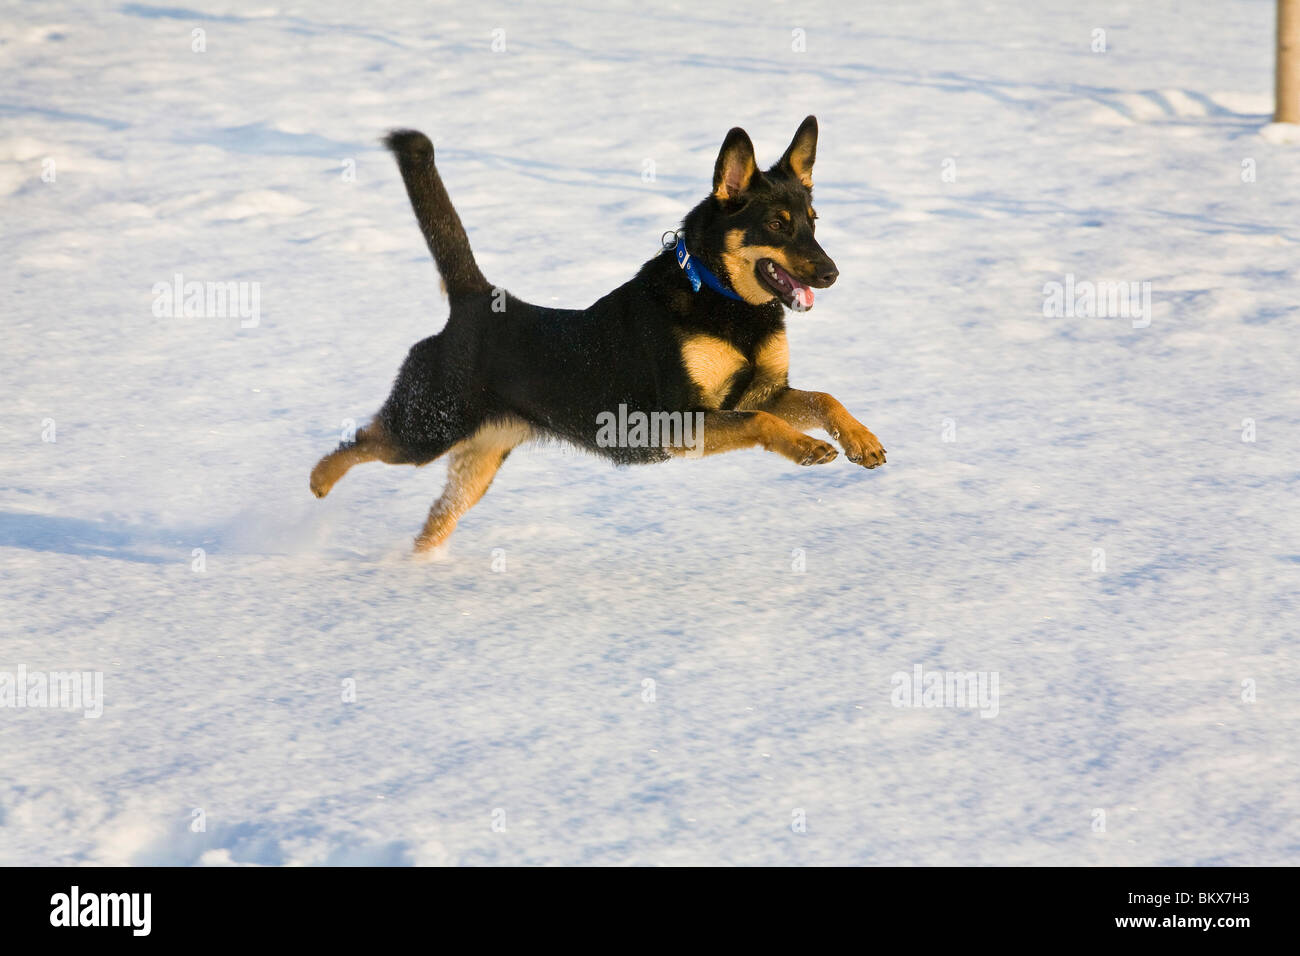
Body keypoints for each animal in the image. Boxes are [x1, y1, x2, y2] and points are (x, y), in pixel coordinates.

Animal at [309, 117, 889, 554]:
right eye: (777, 224)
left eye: (814, 220)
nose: (833, 272)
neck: (720, 298)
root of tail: (477, 298)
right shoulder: (678, 419)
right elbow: (764, 423)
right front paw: (806, 448)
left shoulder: (762, 390)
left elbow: (822, 398)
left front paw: (862, 442)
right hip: (428, 428)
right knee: (359, 442)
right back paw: (318, 483)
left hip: (479, 457)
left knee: (435, 516)